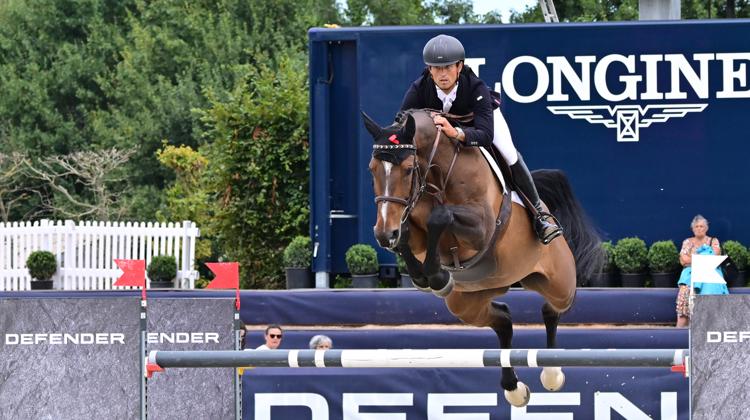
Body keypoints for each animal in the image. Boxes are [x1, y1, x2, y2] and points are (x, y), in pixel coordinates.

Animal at [364, 108, 604, 406]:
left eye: (408, 169)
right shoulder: (411, 222)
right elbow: (409, 230)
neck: (437, 174)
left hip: (558, 281)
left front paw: (436, 277)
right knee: (503, 319)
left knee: (552, 309)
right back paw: (514, 388)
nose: (384, 234)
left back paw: (552, 373)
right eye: (372, 169)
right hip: (468, 302)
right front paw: (426, 276)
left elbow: (440, 216)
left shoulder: (481, 228)